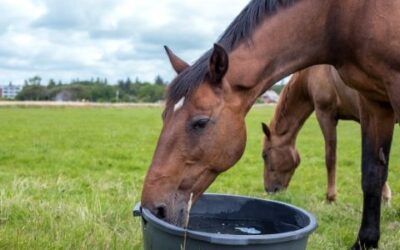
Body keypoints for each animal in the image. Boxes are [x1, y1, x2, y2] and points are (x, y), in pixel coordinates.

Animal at [260, 65, 392, 203]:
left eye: (264, 155)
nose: (269, 190)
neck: (311, 73)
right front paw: (385, 195)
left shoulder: (325, 114)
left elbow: (330, 157)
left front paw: (330, 197)